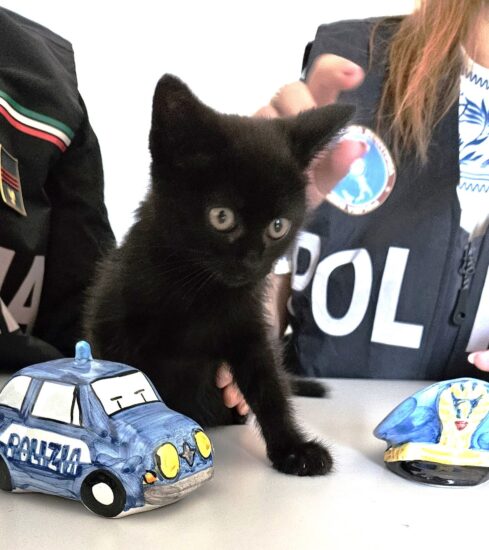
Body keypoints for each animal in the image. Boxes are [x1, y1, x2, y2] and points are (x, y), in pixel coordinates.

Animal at [84, 75, 353, 476]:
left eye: (278, 226)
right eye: (222, 217)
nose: (253, 262)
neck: (199, 288)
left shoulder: (248, 326)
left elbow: (269, 385)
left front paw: (293, 448)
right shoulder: (111, 323)